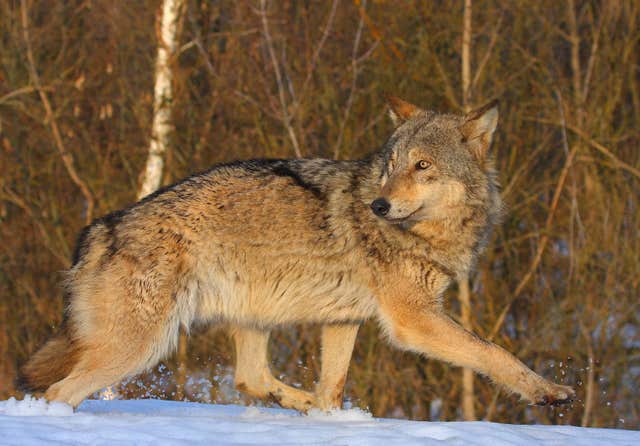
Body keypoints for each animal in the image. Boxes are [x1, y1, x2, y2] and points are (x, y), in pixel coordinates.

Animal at [16, 96, 576, 412]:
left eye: (422, 166)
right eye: (393, 164)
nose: (378, 204)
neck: (428, 233)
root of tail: (100, 228)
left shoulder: (343, 320)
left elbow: (334, 384)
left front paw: (330, 417)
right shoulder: (413, 319)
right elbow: (493, 352)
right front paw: (548, 391)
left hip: (251, 317)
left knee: (251, 378)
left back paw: (306, 407)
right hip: (141, 347)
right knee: (57, 393)